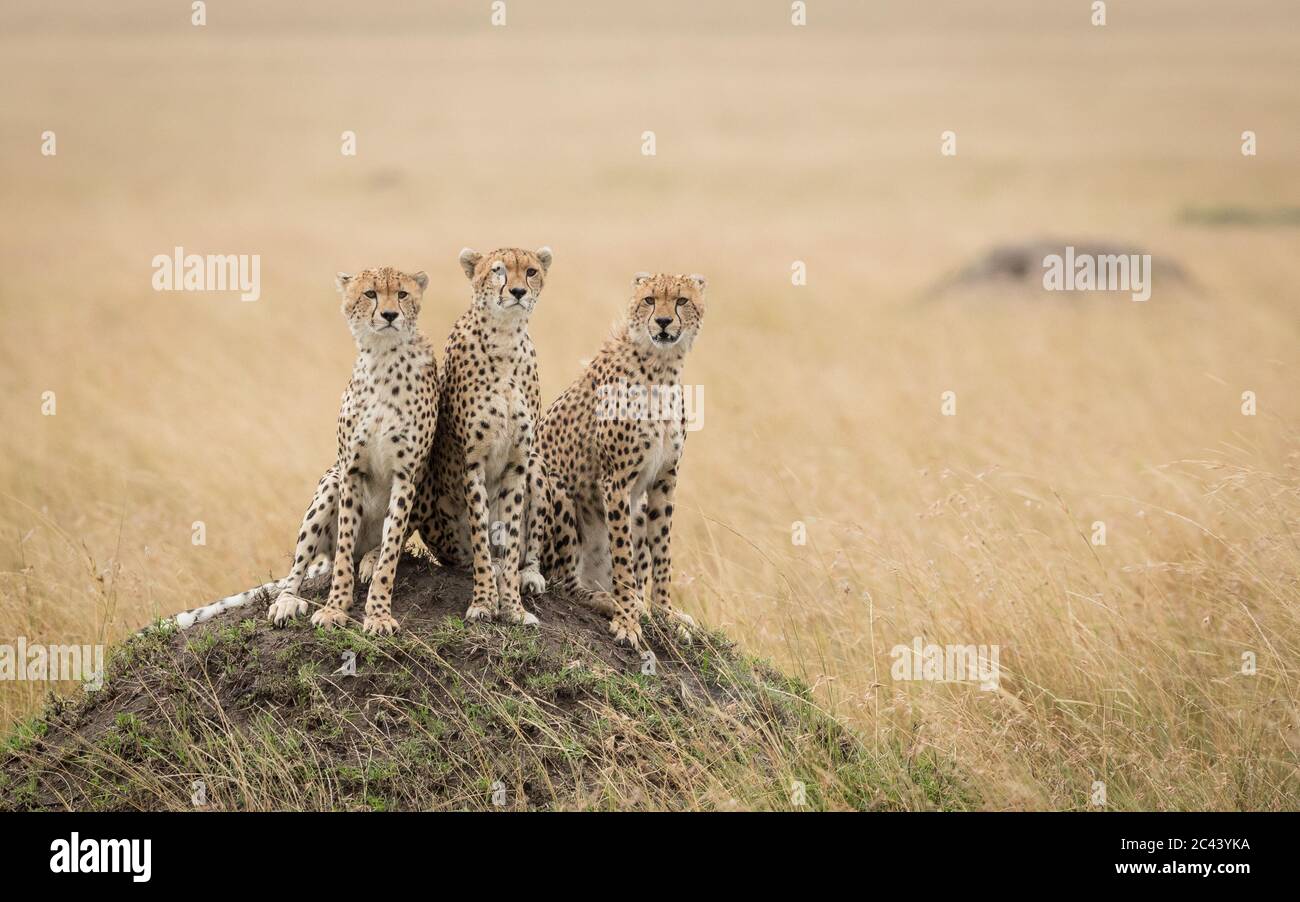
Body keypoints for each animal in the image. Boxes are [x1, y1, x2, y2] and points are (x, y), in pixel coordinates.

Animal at [171, 266, 441, 636]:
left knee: (382, 547)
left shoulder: (406, 476)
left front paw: (378, 614)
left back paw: (370, 559)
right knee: (302, 567)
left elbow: (390, 555)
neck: (383, 359)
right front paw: (335, 608)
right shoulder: (350, 470)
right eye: (370, 294)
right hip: (329, 482)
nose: (389, 315)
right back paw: (287, 601)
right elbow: (343, 552)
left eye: (402, 294)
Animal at [413, 246, 551, 629]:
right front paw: (485, 602)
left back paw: (529, 575)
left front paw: (514, 607)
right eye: (497, 271)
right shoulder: (472, 463)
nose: (517, 292)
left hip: (537, 465)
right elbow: (480, 534)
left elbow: (512, 537)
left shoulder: (518, 464)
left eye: (531, 271)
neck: (504, 339)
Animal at [525, 270, 707, 649]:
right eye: (650, 300)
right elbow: (623, 555)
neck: (661, 367)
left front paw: (666, 616)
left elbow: (662, 555)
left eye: (681, 300)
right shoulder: (616, 481)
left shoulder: (664, 481)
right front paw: (626, 620)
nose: (663, 322)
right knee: (565, 583)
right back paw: (608, 600)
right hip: (552, 486)